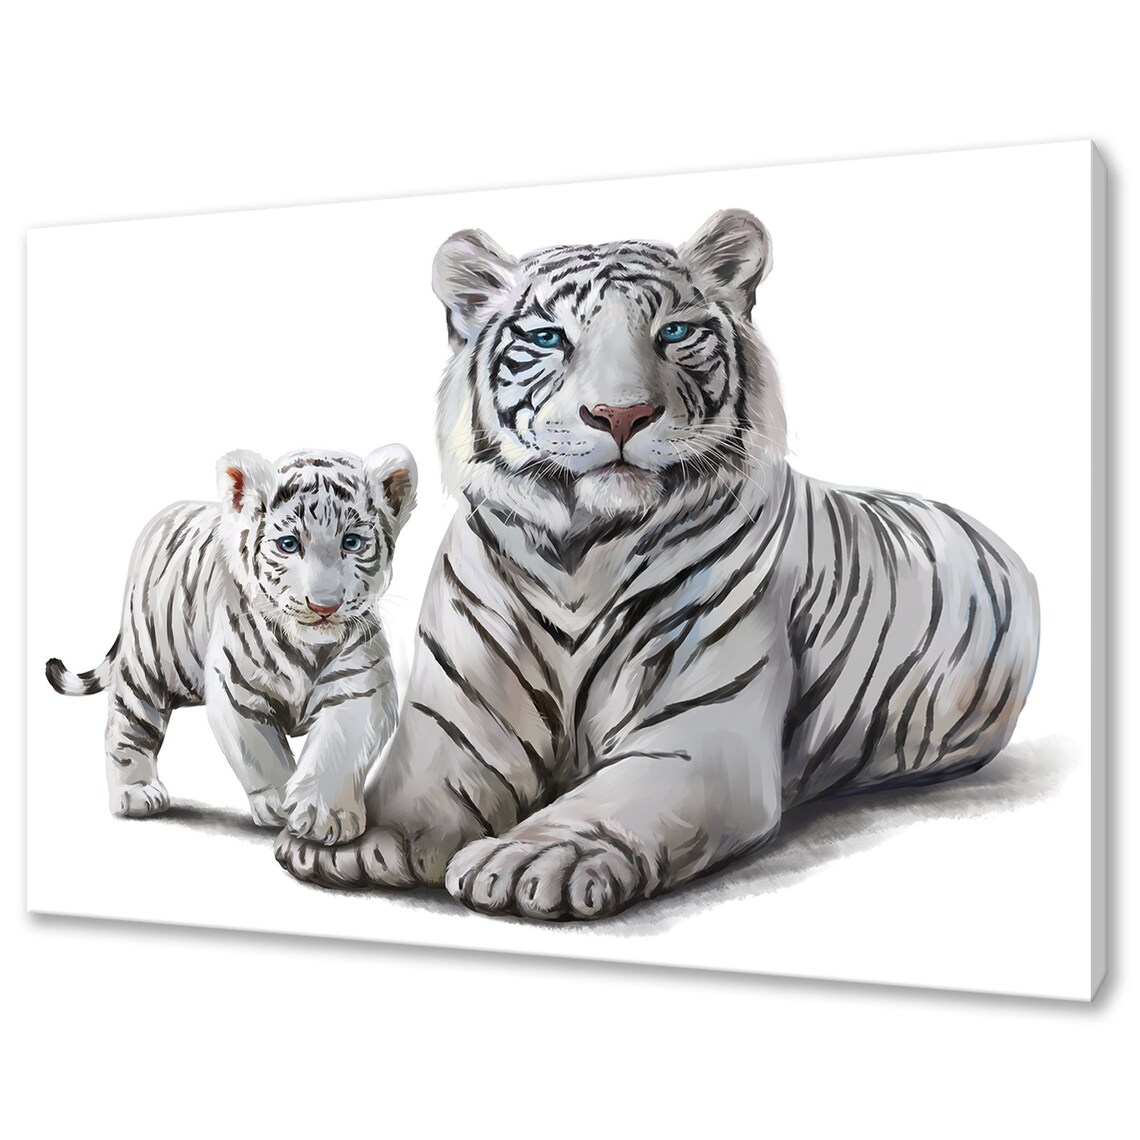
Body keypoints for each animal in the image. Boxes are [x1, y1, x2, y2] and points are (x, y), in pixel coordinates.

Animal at [46, 445, 417, 843]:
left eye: (352, 543)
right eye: (289, 545)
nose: (324, 606)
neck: (308, 648)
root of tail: (162, 518)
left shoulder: (361, 688)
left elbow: (339, 749)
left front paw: (325, 815)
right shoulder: (237, 689)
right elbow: (263, 751)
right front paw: (279, 803)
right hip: (147, 663)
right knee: (127, 722)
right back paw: (136, 792)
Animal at [274, 209, 1041, 922]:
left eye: (672, 333)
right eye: (548, 338)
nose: (621, 414)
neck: (579, 553)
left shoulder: (697, 735)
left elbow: (609, 802)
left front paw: (535, 859)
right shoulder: (456, 721)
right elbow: (412, 786)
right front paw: (355, 836)